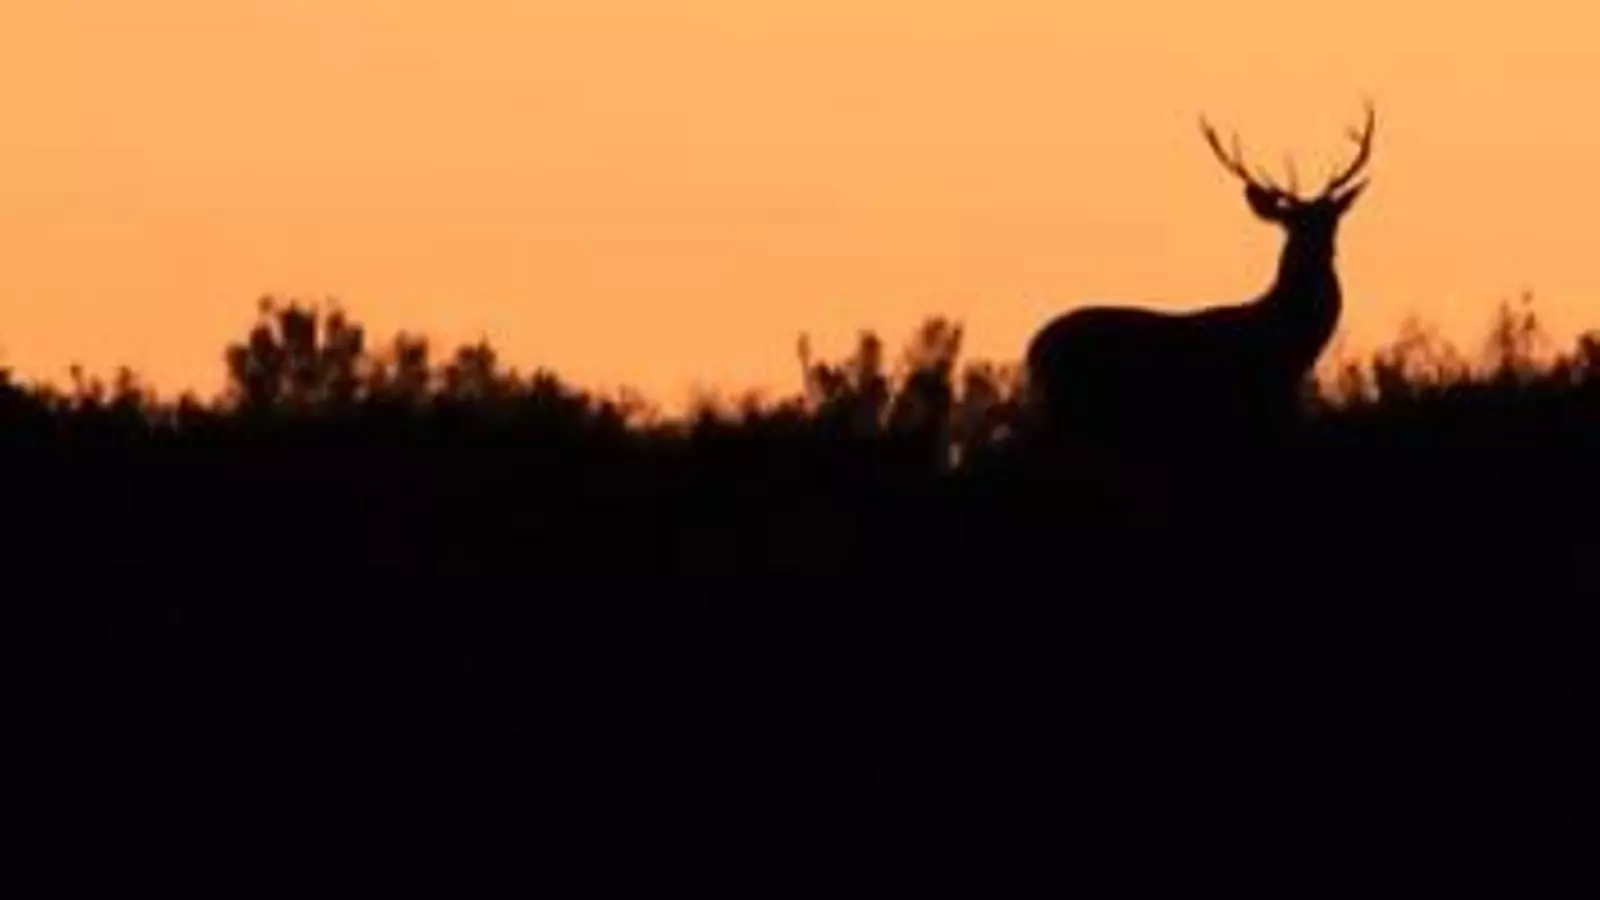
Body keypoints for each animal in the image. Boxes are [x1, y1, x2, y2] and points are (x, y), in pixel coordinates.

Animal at [1022, 102, 1376, 455]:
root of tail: (1034, 348)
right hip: (1073, 406)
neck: (1289, 347)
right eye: (1291, 223)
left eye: (1332, 219)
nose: (1322, 249)